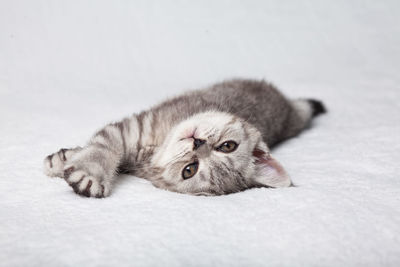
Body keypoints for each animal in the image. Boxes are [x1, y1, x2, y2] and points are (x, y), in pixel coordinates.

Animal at [43, 78, 324, 198]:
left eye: (190, 169)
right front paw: (69, 160)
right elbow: (103, 148)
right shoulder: (134, 127)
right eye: (228, 146)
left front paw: (84, 171)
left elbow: (105, 148)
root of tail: (288, 108)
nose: (197, 144)